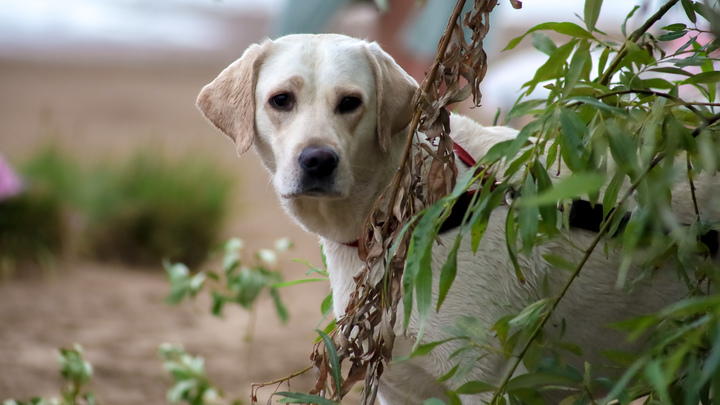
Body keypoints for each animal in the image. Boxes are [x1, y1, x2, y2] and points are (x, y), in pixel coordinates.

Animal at [198, 34, 720, 400]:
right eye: (281, 100)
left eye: (350, 103)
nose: (318, 160)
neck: (403, 215)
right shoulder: (396, 384)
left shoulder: (486, 380)